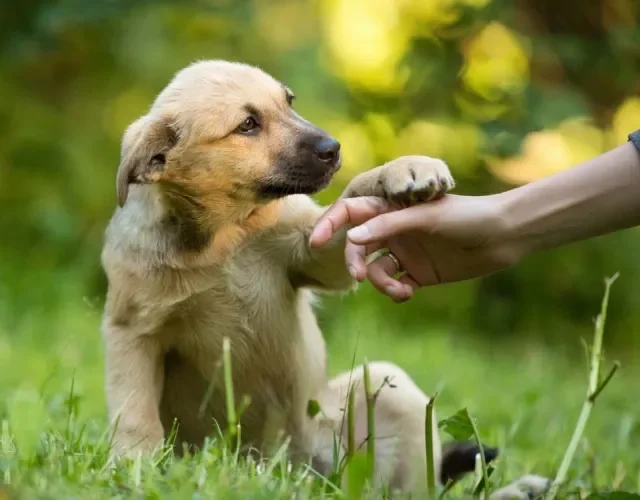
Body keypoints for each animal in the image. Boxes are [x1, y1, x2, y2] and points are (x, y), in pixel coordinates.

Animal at [101, 60, 552, 498]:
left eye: (289, 102)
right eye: (247, 125)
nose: (333, 149)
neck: (224, 237)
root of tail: (297, 473)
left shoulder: (313, 250)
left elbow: (352, 197)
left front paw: (403, 169)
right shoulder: (131, 331)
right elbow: (136, 413)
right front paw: (134, 467)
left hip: (386, 394)